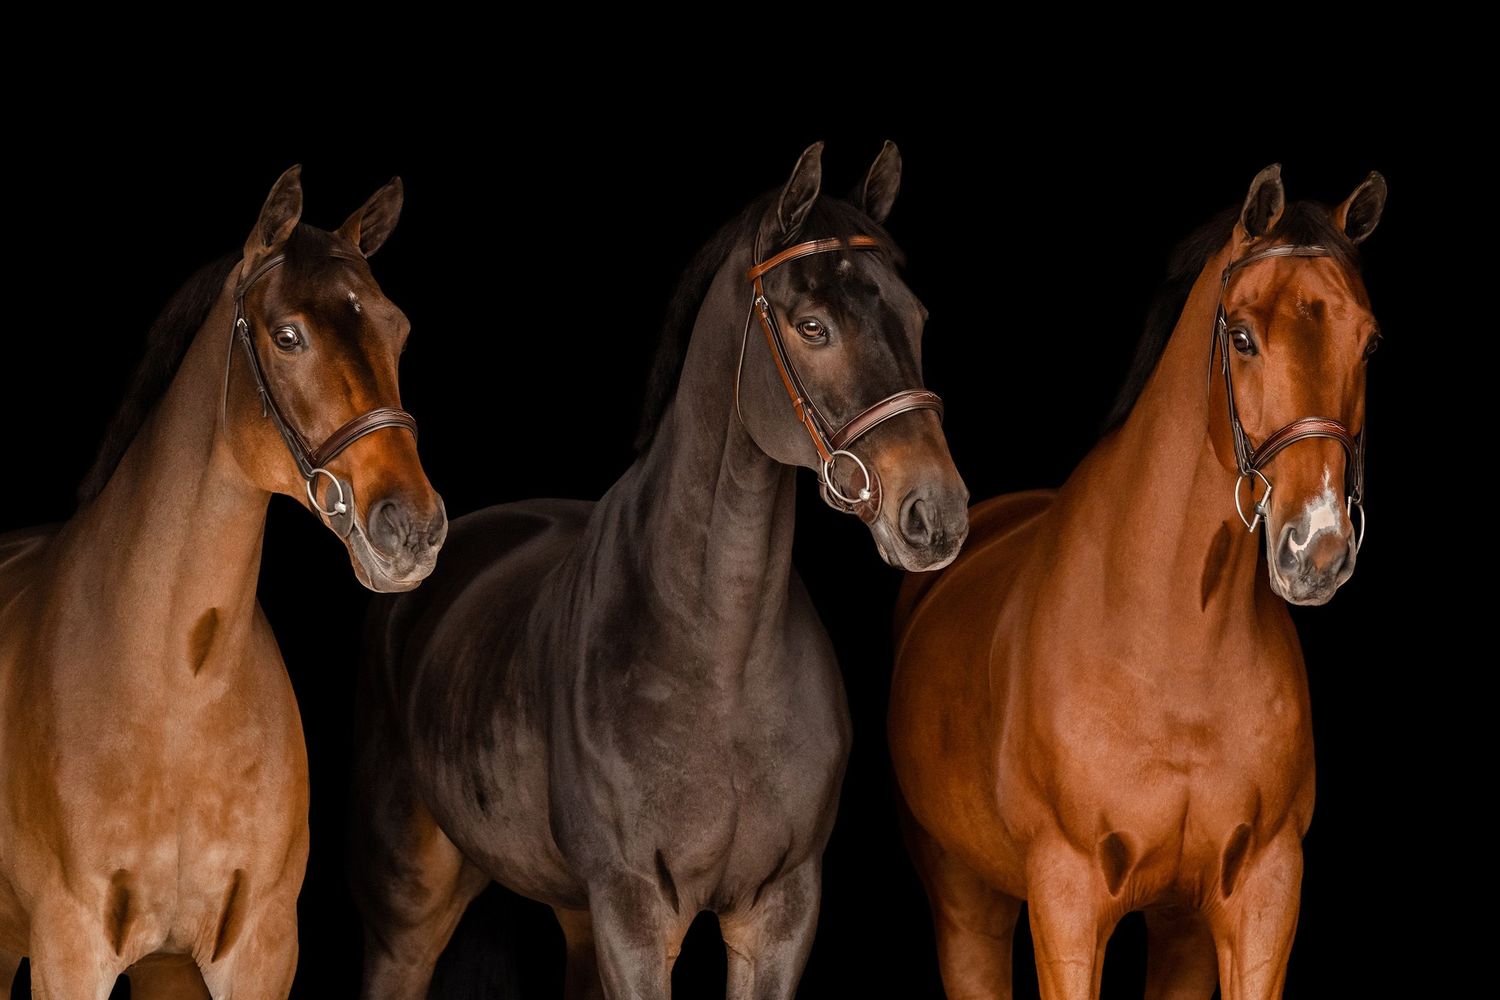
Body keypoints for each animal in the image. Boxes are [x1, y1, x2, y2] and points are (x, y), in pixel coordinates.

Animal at [0, 166, 446, 999]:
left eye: (397, 329)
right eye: (287, 336)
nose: (412, 527)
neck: (179, 686)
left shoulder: (258, 950)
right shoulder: (68, 948)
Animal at [349, 141, 969, 999]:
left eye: (916, 316)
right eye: (812, 326)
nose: (935, 513)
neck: (719, 657)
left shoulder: (779, 913)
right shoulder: (635, 914)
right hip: (411, 909)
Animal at [888, 164, 1387, 1000]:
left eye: (1370, 342)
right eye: (1242, 336)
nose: (1316, 548)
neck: (1172, 638)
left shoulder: (1260, 896)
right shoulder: (1066, 899)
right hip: (966, 900)